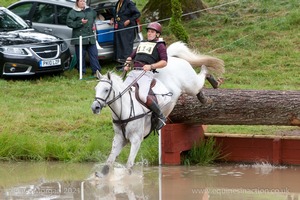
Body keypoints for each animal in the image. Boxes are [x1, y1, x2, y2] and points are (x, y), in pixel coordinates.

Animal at [90, 41, 224, 175]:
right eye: (96, 88)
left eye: (106, 89)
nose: (95, 107)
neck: (124, 109)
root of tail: (172, 58)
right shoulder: (119, 139)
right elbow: (108, 164)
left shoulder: (136, 140)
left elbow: (129, 166)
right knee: (199, 88)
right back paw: (203, 97)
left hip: (191, 84)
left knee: (202, 75)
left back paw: (213, 81)